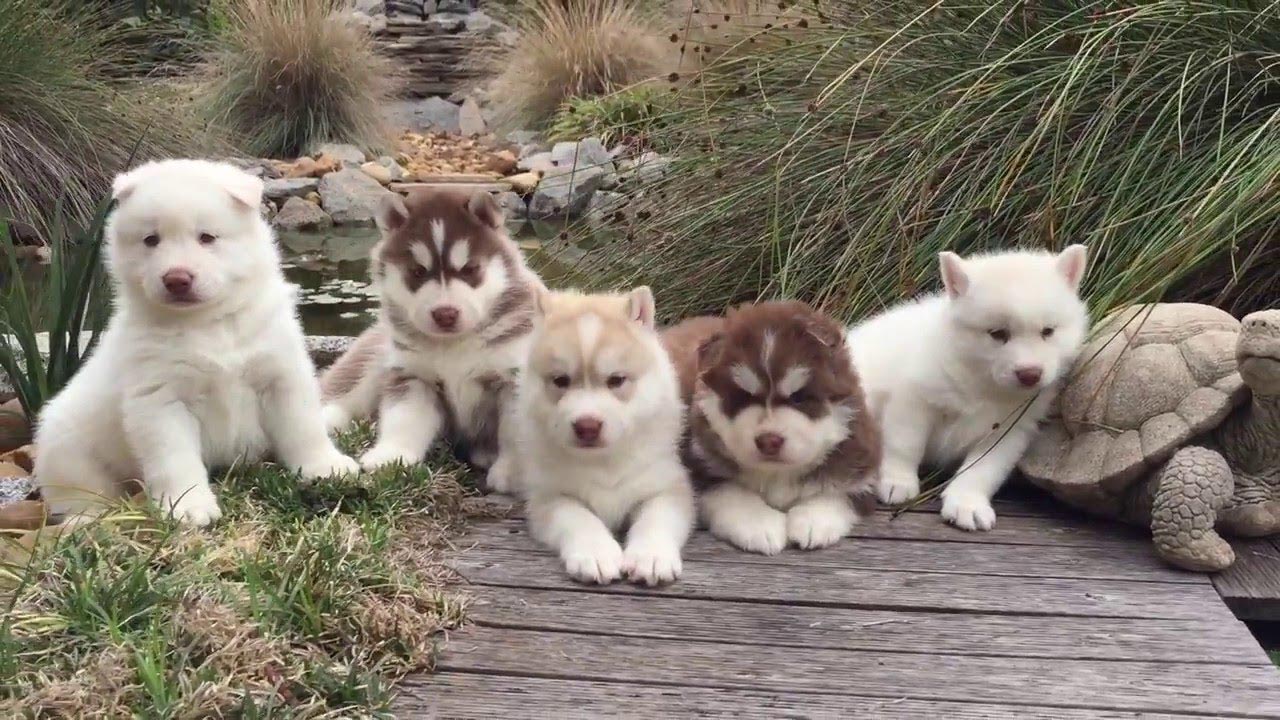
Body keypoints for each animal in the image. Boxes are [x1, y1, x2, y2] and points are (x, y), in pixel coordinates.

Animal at [36, 159, 355, 525]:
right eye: (151, 240)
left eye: (207, 237)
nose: (177, 279)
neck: (209, 322)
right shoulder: (160, 400)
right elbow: (175, 459)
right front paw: (188, 506)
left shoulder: (282, 374)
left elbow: (304, 428)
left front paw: (325, 466)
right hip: (66, 449)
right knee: (80, 493)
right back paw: (86, 518)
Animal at [322, 188, 542, 486]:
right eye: (417, 272)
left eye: (470, 269)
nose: (445, 314)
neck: (455, 344)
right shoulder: (413, 375)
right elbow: (404, 419)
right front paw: (391, 455)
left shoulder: (513, 377)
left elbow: (515, 431)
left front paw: (514, 472)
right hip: (374, 358)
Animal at [665, 299, 885, 550]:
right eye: (742, 397)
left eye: (798, 397)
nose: (769, 441)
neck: (778, 473)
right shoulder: (700, 465)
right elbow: (732, 492)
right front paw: (759, 525)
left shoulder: (860, 467)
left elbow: (836, 494)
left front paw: (813, 522)